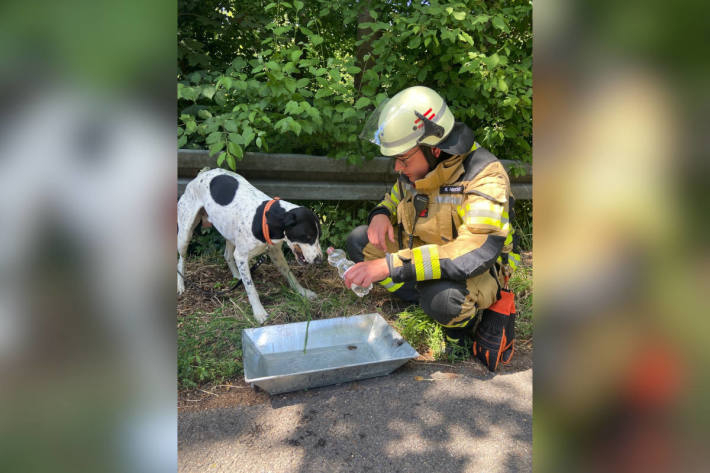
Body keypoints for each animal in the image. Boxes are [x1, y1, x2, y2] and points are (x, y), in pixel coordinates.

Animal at [178, 168, 322, 322]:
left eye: (318, 236)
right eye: (308, 236)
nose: (320, 260)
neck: (263, 219)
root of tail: (202, 173)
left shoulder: (275, 252)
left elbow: (290, 275)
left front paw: (303, 292)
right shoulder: (242, 256)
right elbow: (251, 289)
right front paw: (259, 312)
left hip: (229, 232)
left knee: (227, 255)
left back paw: (237, 275)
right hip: (185, 235)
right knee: (181, 260)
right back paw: (180, 285)